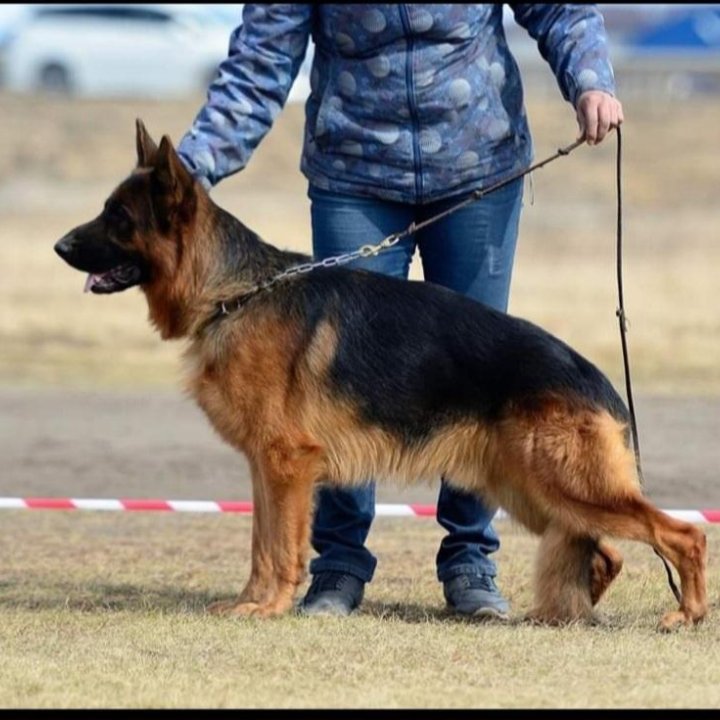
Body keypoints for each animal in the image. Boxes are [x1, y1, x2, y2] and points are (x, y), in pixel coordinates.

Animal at [53, 122, 704, 632]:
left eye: (118, 217)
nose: (59, 246)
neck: (234, 292)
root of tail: (599, 382)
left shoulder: (285, 464)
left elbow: (278, 546)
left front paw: (266, 608)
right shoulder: (266, 467)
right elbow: (262, 543)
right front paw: (251, 603)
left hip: (564, 486)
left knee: (682, 534)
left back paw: (686, 614)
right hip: (532, 491)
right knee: (607, 551)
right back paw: (565, 613)